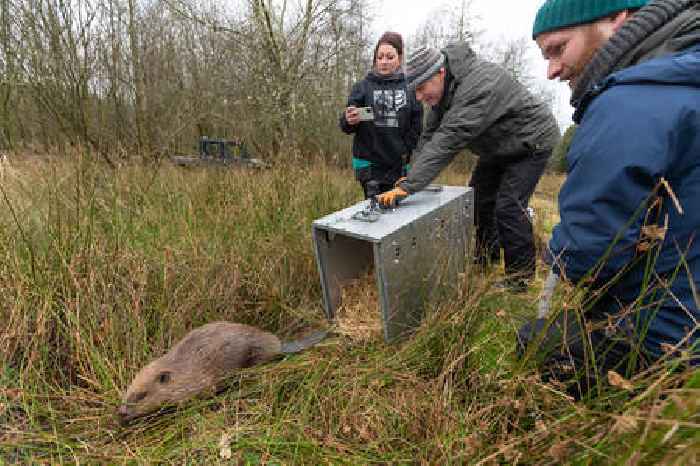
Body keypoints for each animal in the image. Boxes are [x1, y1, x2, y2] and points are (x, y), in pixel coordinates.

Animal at [117, 322, 328, 424]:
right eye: (128, 392)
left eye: (141, 395)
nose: (121, 413)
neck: (180, 370)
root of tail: (278, 345)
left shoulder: (199, 381)